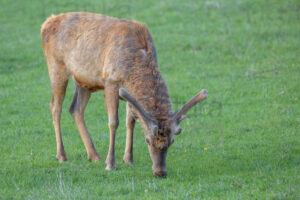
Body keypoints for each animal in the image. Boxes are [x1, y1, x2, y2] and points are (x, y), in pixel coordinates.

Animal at [41, 12, 207, 178]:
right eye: (147, 140)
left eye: (171, 141)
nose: (160, 172)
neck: (134, 66)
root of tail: (46, 23)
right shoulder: (110, 81)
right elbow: (113, 122)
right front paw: (110, 164)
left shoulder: (129, 91)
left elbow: (130, 122)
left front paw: (128, 159)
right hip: (56, 66)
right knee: (55, 106)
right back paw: (62, 155)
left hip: (84, 80)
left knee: (75, 108)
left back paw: (94, 155)